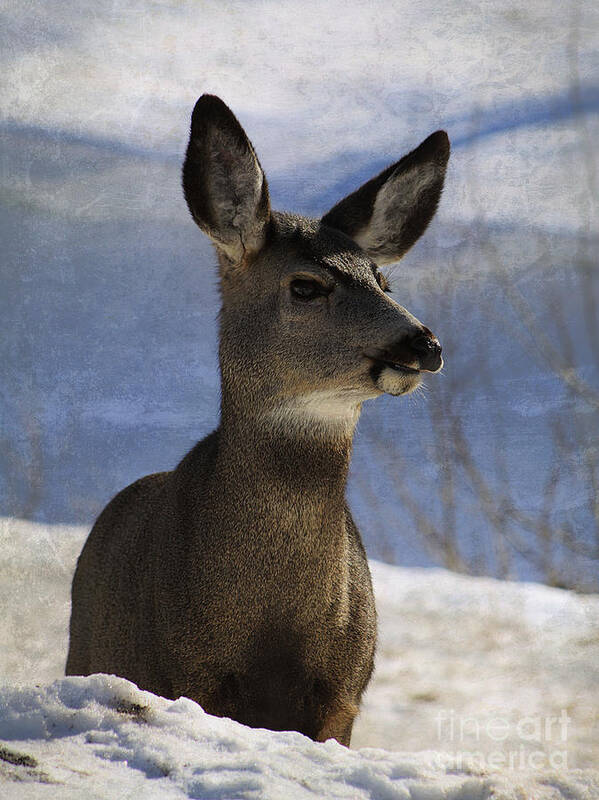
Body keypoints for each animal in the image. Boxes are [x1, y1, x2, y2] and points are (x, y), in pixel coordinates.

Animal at [67, 95, 450, 752]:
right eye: (307, 285)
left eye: (384, 281)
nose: (422, 344)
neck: (274, 630)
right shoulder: (183, 678)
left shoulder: (343, 701)